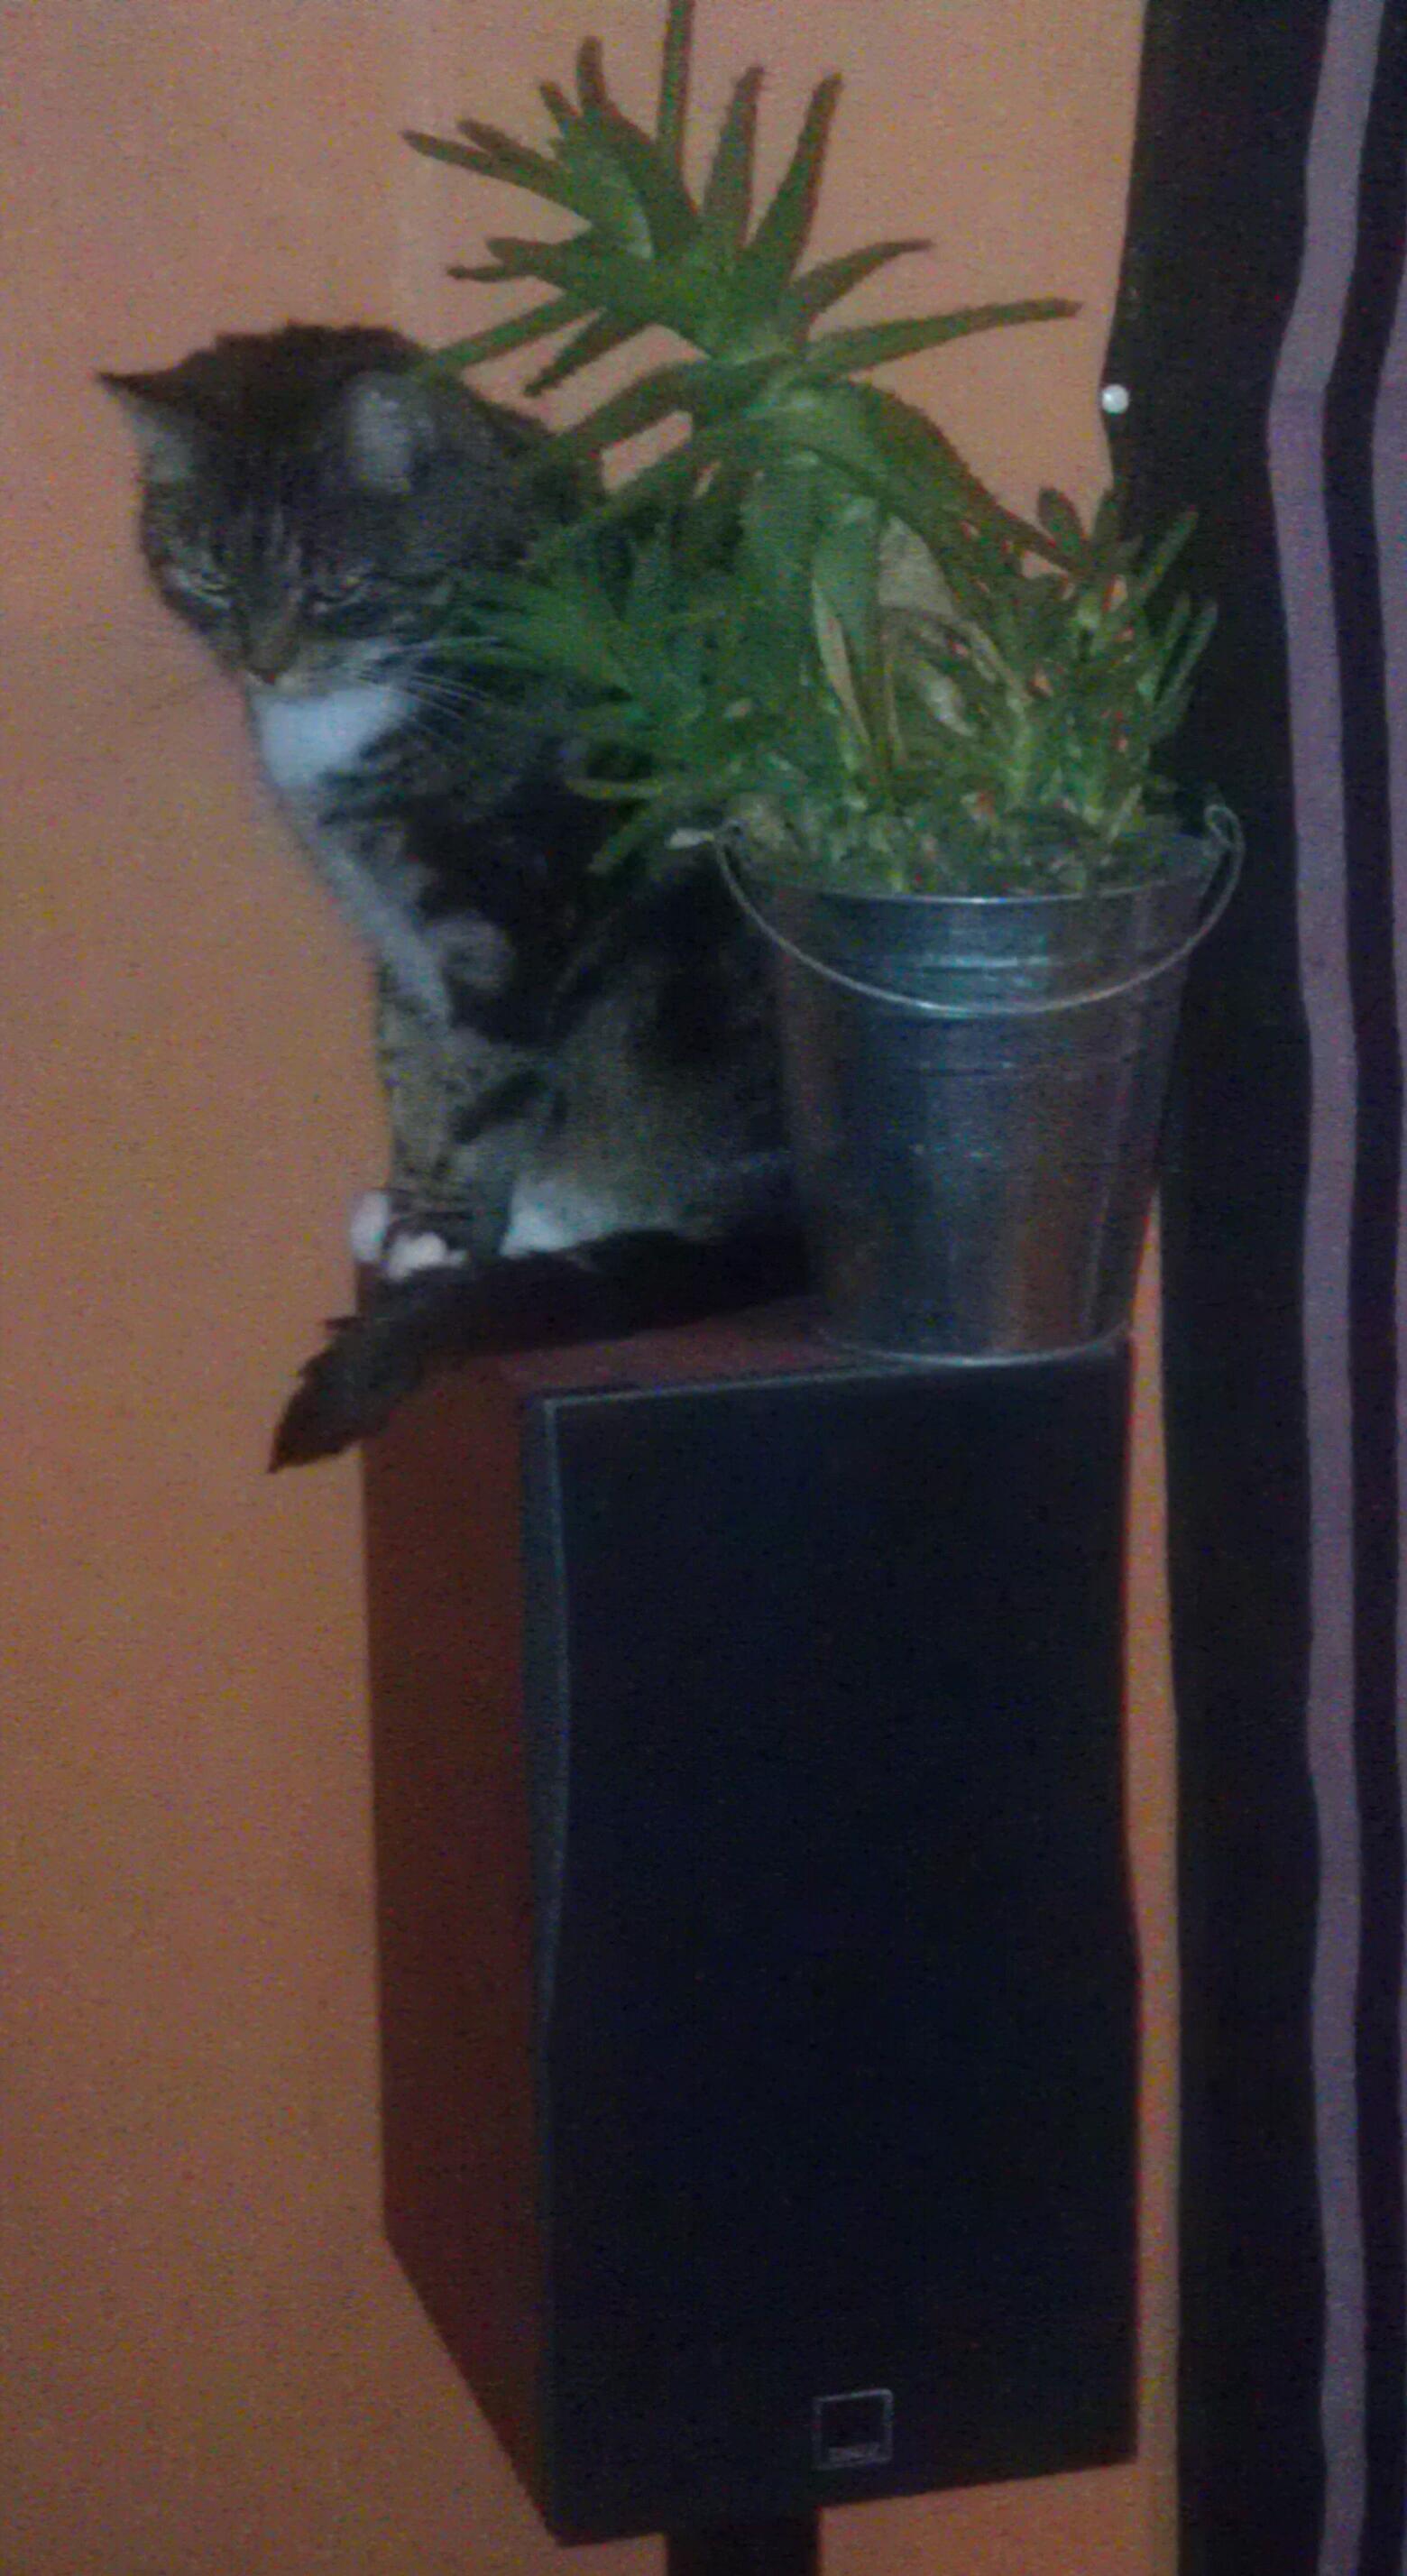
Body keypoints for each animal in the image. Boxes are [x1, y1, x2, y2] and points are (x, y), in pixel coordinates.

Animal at [103, 324, 802, 1463]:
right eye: (207, 577)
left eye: (335, 586)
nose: (265, 665)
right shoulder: (392, 925)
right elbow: (409, 1056)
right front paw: (402, 1210)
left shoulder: (506, 911)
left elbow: (484, 1079)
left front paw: (442, 1240)